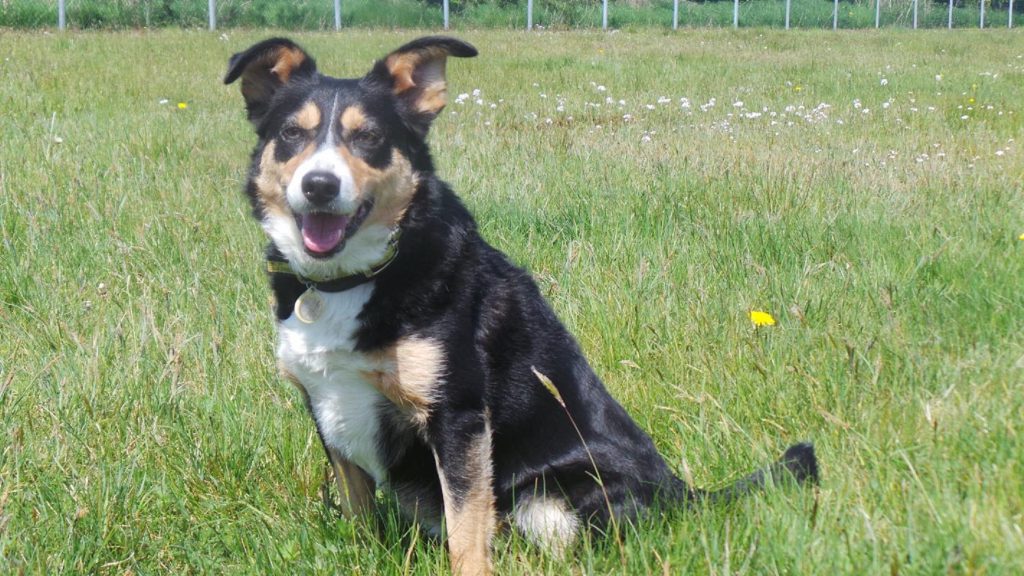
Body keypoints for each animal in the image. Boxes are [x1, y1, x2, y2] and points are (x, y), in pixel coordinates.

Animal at [224, 38, 815, 569]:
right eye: (291, 134)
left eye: (368, 137)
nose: (320, 185)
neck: (350, 279)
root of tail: (683, 494)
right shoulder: (326, 403)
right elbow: (359, 516)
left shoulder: (458, 415)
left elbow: (466, 530)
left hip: (553, 494)